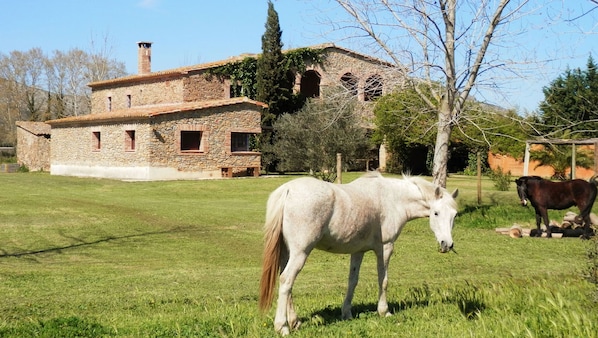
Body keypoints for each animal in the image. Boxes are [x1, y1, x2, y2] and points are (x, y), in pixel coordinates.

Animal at [258, 173, 460, 334]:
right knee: (286, 281)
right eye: (436, 213)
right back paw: (282, 327)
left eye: (454, 215)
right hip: (300, 252)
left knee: (286, 283)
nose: (447, 244)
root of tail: (288, 190)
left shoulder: (358, 251)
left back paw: (295, 322)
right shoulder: (386, 247)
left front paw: (346, 312)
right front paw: (384, 311)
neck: (392, 198)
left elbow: (352, 281)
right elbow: (383, 280)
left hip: (287, 253)